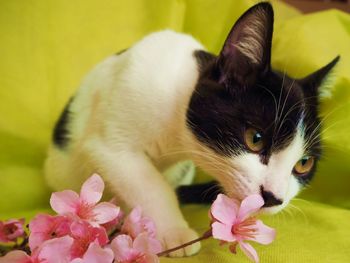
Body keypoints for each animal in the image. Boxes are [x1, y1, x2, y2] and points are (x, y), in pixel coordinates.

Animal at [44, 2, 340, 258]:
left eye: (304, 164)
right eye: (255, 139)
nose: (274, 197)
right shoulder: (113, 139)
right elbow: (148, 182)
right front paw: (173, 231)